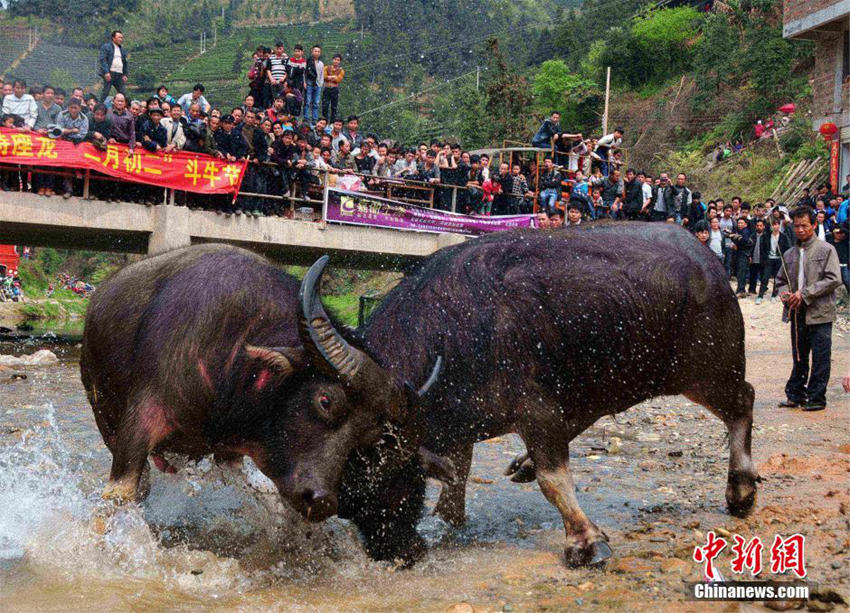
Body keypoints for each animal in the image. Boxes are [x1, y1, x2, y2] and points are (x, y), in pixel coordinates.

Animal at [79, 241, 440, 520]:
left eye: (368, 437)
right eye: (325, 401)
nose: (323, 500)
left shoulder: (230, 454)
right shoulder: (139, 423)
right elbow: (122, 493)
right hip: (104, 414)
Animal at [322, 222, 760, 568]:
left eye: (379, 483)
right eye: (346, 502)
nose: (398, 552)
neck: (451, 333)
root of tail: (708, 260)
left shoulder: (537, 411)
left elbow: (554, 481)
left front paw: (586, 543)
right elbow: (458, 472)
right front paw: (448, 521)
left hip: (708, 370)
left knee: (744, 401)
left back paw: (741, 490)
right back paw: (524, 463)